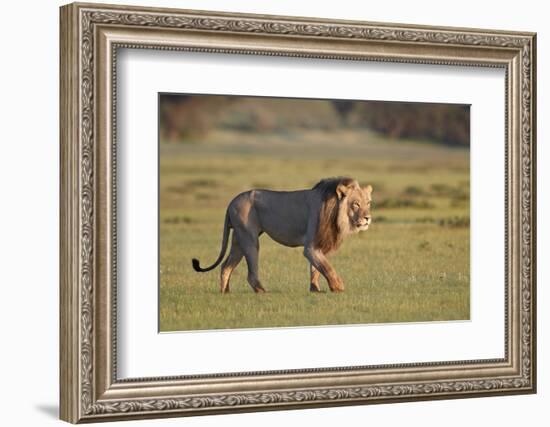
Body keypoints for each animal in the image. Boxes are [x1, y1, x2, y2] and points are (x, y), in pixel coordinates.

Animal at [191, 177, 376, 294]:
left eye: (368, 203)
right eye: (355, 204)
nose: (367, 218)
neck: (336, 213)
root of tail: (231, 202)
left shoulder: (321, 245)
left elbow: (317, 268)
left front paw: (315, 289)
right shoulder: (310, 247)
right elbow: (327, 267)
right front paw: (338, 287)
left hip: (238, 239)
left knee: (226, 266)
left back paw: (225, 293)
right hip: (249, 238)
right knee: (250, 273)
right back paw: (262, 291)